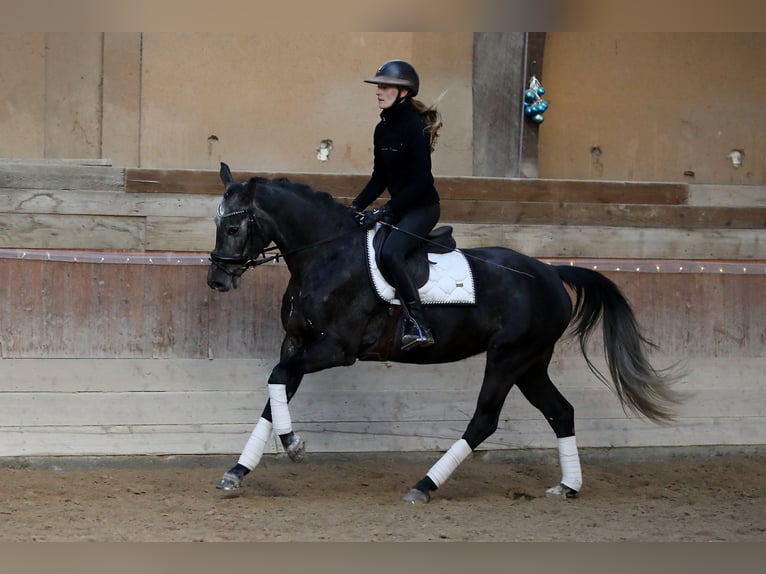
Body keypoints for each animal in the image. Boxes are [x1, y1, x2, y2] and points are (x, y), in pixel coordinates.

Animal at [206, 162, 684, 504]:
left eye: (233, 226)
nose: (216, 280)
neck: (327, 254)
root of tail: (550, 272)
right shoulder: (297, 343)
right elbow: (276, 391)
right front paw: (237, 472)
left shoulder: (334, 349)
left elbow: (277, 379)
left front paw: (293, 444)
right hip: (531, 362)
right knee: (561, 412)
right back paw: (567, 487)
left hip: (508, 357)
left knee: (484, 420)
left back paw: (424, 486)